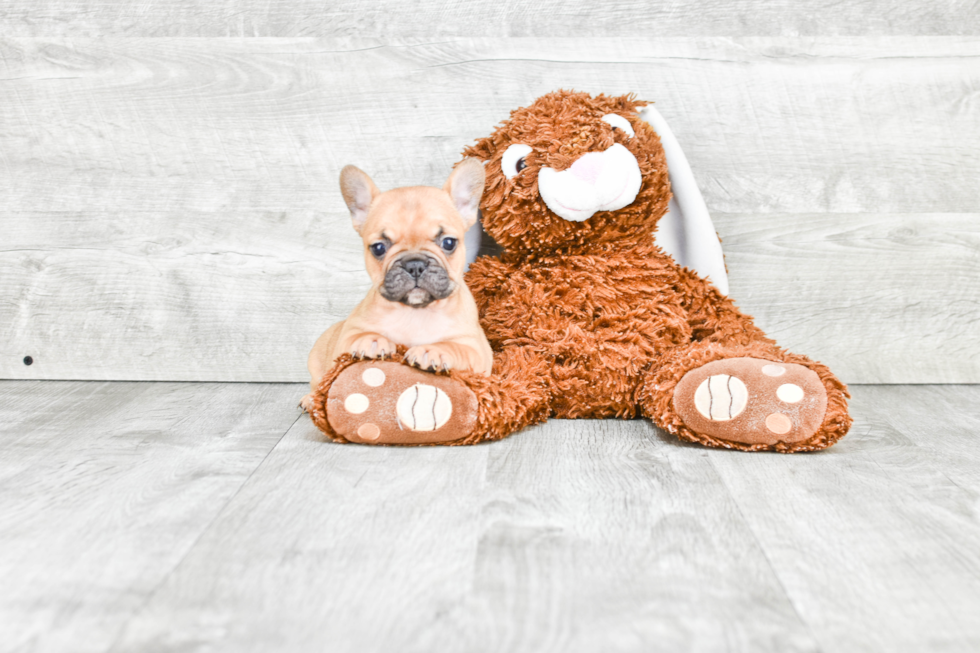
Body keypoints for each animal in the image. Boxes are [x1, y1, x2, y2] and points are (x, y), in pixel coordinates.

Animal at [298, 159, 494, 410]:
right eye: (379, 248)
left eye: (449, 243)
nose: (415, 264)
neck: (416, 311)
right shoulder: (346, 335)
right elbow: (355, 337)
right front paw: (371, 340)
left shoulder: (477, 350)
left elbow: (455, 347)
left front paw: (433, 351)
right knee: (317, 382)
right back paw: (311, 398)